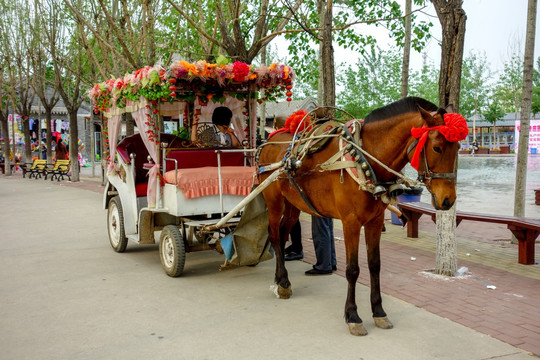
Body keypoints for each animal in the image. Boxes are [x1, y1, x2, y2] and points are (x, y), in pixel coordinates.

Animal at [258, 97, 464, 336]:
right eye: (437, 147)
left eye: (458, 147)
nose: (448, 200)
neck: (366, 160)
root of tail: (270, 139)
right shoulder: (351, 222)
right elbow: (353, 269)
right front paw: (352, 315)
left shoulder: (375, 222)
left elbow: (375, 265)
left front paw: (379, 312)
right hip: (274, 201)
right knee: (274, 235)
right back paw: (283, 283)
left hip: (294, 203)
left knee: (282, 235)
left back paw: (281, 279)